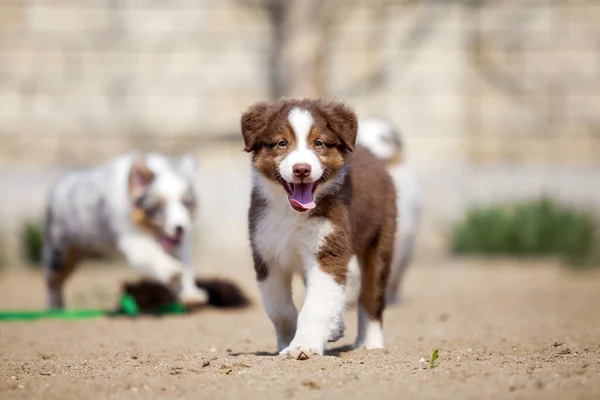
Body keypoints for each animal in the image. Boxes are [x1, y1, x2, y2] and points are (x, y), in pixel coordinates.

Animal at [41, 152, 206, 310]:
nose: (180, 228)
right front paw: (171, 270)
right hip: (59, 253)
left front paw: (190, 293)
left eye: (186, 203)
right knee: (53, 282)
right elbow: (152, 254)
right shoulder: (132, 239)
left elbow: (186, 263)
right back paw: (54, 307)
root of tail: (62, 181)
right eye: (159, 207)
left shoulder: (179, 242)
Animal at [239, 97, 398, 360]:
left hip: (380, 242)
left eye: (319, 143)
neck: (291, 213)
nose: (302, 169)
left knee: (371, 297)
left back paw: (371, 344)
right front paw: (286, 343)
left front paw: (304, 345)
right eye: (282, 143)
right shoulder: (266, 253)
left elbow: (316, 304)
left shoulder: (328, 249)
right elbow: (279, 309)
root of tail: (373, 155)